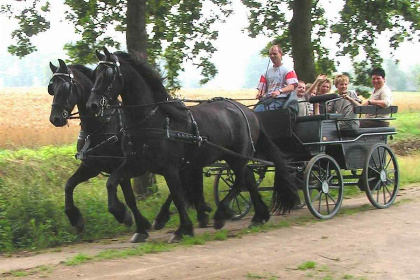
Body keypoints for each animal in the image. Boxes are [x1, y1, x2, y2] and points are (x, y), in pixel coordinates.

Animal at [87, 48, 300, 243]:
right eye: (95, 74)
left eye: (108, 74)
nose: (92, 106)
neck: (152, 120)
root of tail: (249, 113)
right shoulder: (137, 164)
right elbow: (112, 182)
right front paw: (124, 216)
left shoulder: (170, 168)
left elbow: (178, 196)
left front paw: (183, 229)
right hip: (234, 158)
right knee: (247, 179)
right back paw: (258, 216)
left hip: (237, 157)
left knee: (241, 180)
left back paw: (221, 215)